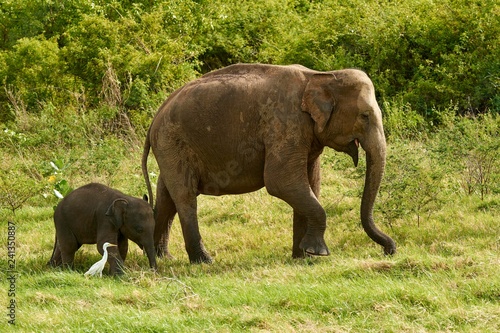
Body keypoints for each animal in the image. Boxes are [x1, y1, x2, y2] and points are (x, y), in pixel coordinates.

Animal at [143, 63, 396, 262]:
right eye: (365, 116)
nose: (389, 250)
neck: (321, 75)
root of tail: (154, 119)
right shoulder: (285, 124)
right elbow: (281, 181)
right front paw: (317, 253)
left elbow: (310, 184)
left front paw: (303, 257)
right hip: (172, 142)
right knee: (185, 197)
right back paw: (203, 261)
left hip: (169, 148)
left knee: (167, 197)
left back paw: (160, 257)